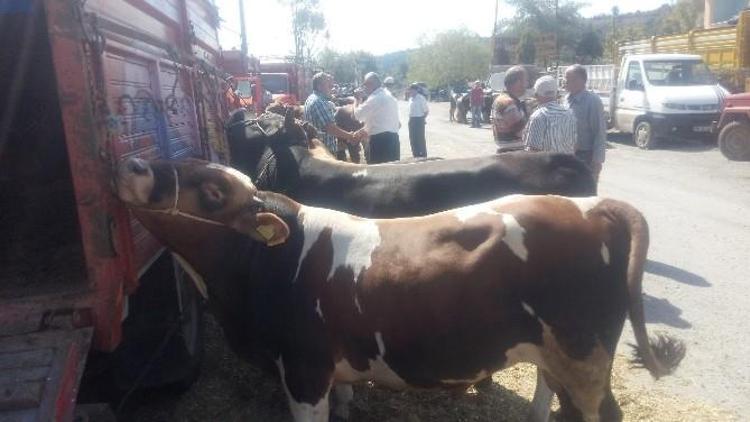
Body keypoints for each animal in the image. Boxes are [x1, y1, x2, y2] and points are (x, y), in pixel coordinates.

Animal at [116, 158, 688, 422]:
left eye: (213, 192)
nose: (134, 164)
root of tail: (594, 206)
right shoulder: (329, 370)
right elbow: (345, 400)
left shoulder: (302, 370)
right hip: (559, 352)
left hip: (584, 355)